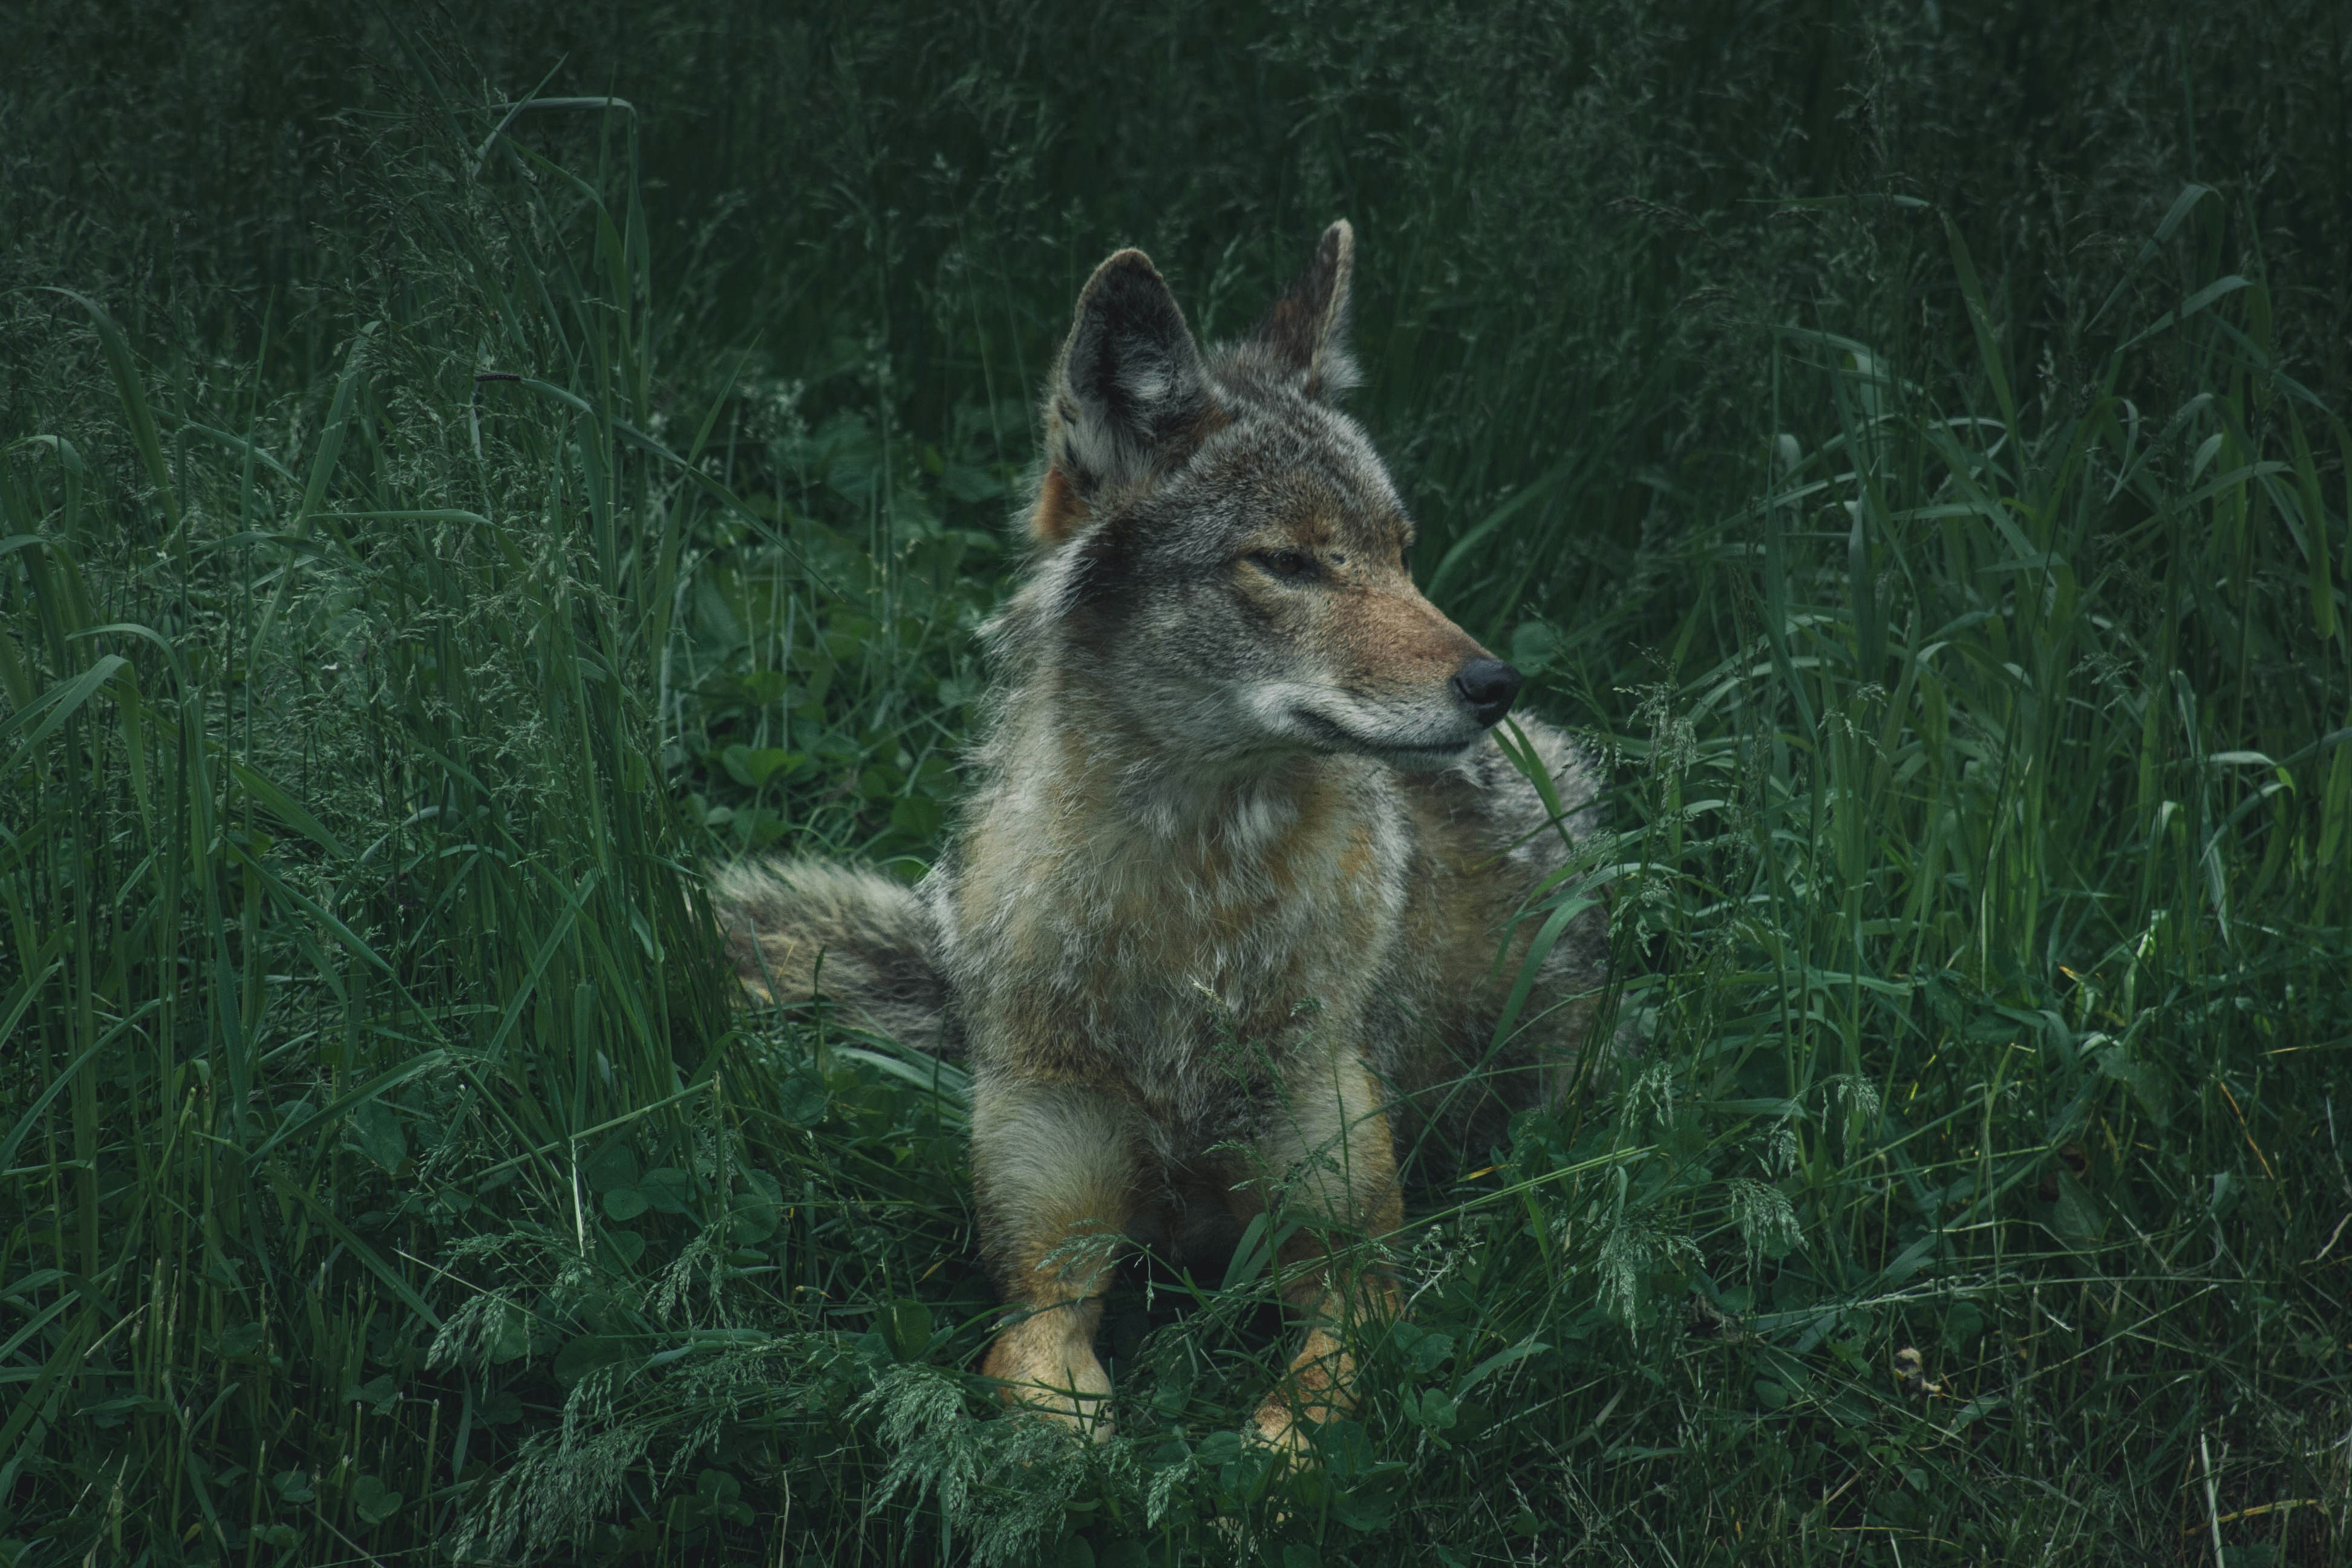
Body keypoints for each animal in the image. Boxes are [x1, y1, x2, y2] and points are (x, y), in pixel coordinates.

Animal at [714, 220, 1609, 1454]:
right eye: (1288, 562)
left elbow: (1289, 1434)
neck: (1194, 924)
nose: (1494, 683)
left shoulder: (1356, 1274)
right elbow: (1067, 1425)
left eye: (1400, 552)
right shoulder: (1043, 1276)